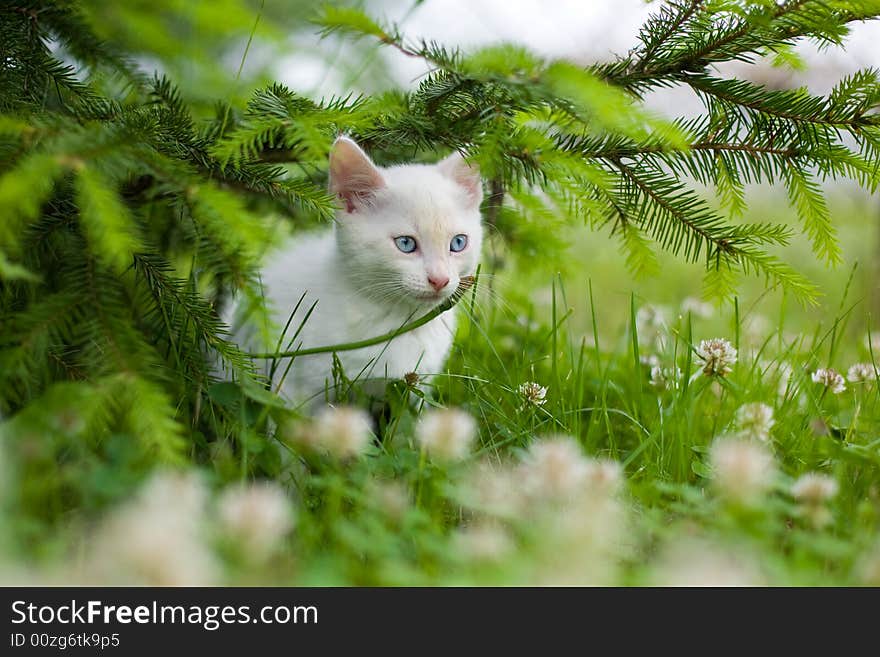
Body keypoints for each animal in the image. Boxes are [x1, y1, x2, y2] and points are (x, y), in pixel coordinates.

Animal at [229, 137, 482, 404]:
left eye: (458, 243)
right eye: (405, 244)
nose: (440, 279)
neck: (399, 318)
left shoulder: (415, 389)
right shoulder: (292, 384)